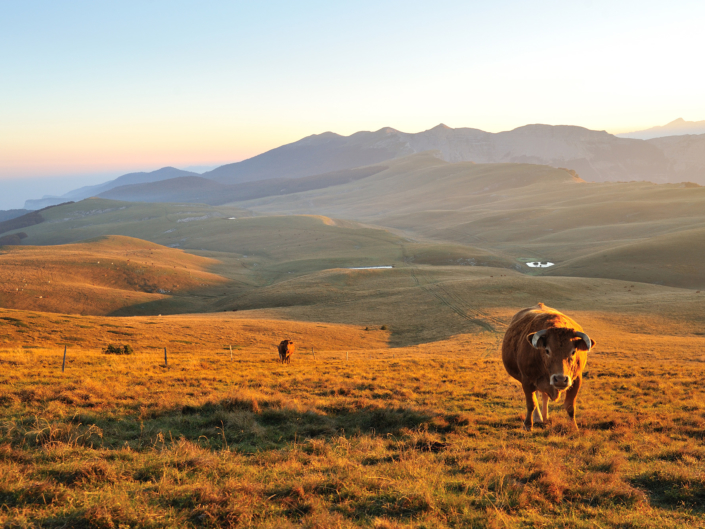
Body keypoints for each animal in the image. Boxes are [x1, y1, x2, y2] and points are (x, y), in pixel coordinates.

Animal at [500, 304, 592, 432]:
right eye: (547, 350)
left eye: (573, 352)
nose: (560, 379)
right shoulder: (527, 380)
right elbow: (531, 404)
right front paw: (527, 425)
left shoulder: (577, 379)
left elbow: (570, 405)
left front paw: (573, 426)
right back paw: (538, 418)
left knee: (544, 396)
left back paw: (545, 417)